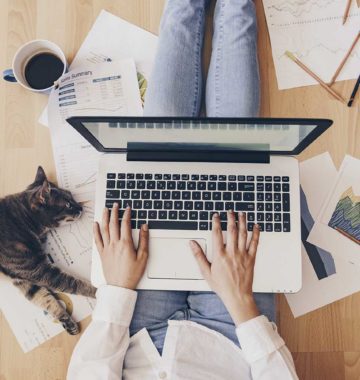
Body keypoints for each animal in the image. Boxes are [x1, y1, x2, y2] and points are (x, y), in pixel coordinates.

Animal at [0, 168, 96, 334]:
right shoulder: (40, 271)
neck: (22, 220)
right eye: (68, 204)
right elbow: (74, 284)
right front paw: (99, 291)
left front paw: (67, 322)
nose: (81, 207)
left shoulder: (24, 279)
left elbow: (44, 299)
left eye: (72, 196)